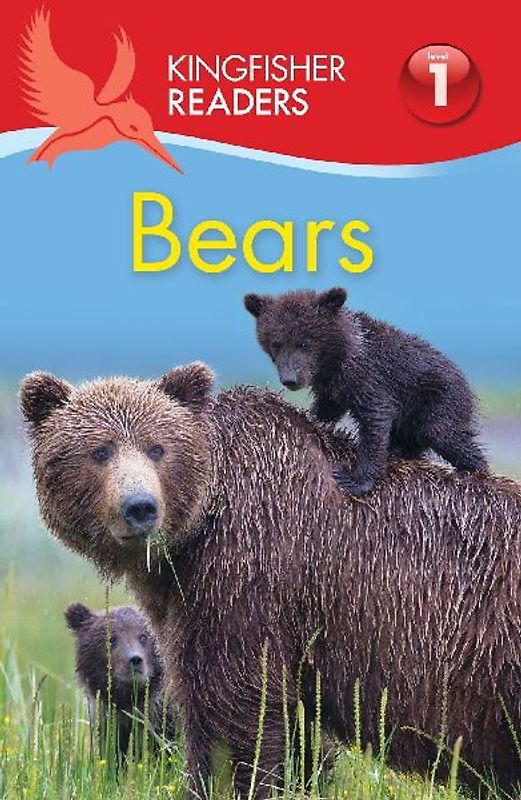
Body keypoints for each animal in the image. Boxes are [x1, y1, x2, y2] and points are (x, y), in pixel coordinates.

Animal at [244, 287, 488, 495]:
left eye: (305, 343)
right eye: (277, 343)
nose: (290, 379)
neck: (336, 359)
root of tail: (466, 382)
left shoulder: (369, 378)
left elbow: (375, 420)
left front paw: (355, 480)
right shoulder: (332, 387)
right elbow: (327, 410)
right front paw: (310, 417)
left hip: (439, 400)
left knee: (444, 433)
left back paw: (473, 469)